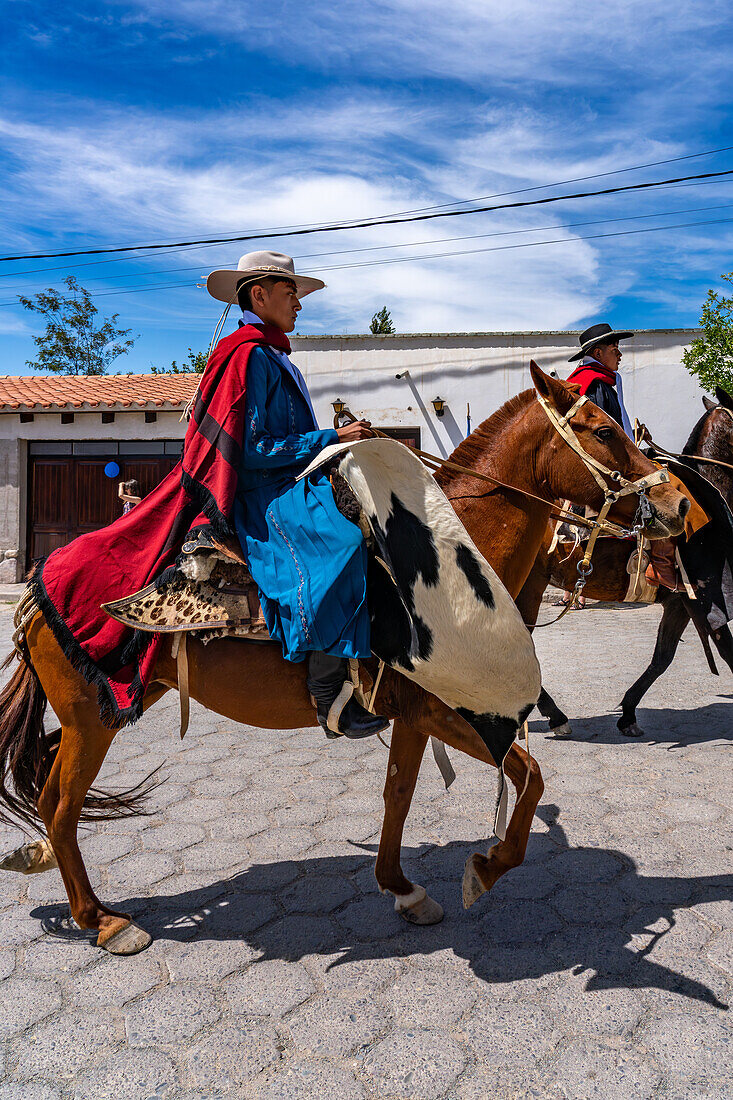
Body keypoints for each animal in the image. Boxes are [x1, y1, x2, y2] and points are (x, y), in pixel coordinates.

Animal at [0, 365, 686, 950]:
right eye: (604, 431)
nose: (677, 502)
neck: (447, 559)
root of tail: (39, 584)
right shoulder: (445, 712)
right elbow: (529, 775)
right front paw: (485, 868)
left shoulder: (413, 716)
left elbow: (401, 792)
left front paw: (403, 889)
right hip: (95, 716)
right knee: (61, 807)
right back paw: (103, 921)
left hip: (106, 708)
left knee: (48, 790)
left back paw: (44, 865)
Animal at [512, 391, 730, 734]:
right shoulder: (701, 596)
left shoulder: (679, 603)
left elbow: (662, 657)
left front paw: (628, 712)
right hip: (528, 587)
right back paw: (553, 714)